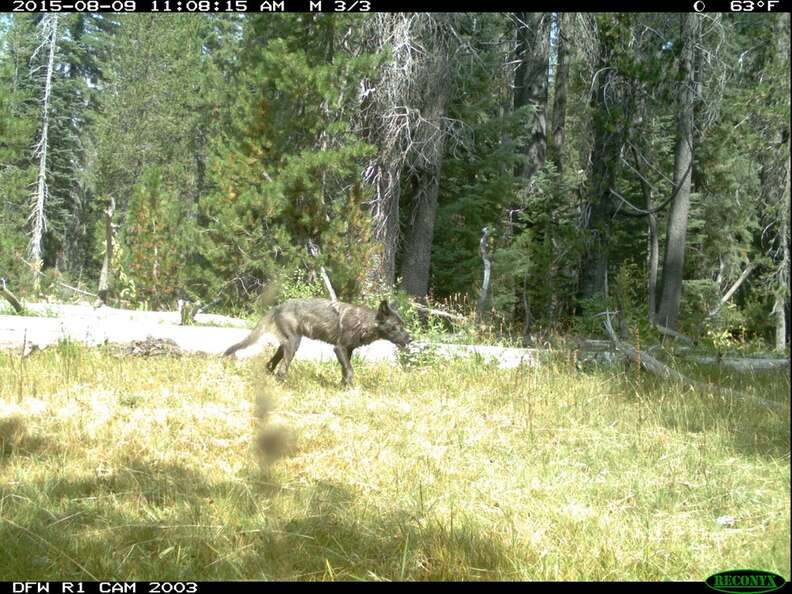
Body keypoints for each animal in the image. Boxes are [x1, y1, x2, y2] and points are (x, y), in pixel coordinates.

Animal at [223, 298, 412, 385]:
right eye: (396, 326)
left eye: (403, 324)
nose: (410, 339)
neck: (365, 323)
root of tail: (278, 307)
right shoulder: (339, 348)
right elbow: (350, 370)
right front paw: (350, 388)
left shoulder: (348, 351)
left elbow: (345, 370)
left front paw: (343, 386)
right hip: (294, 343)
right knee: (282, 368)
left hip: (285, 345)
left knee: (271, 364)